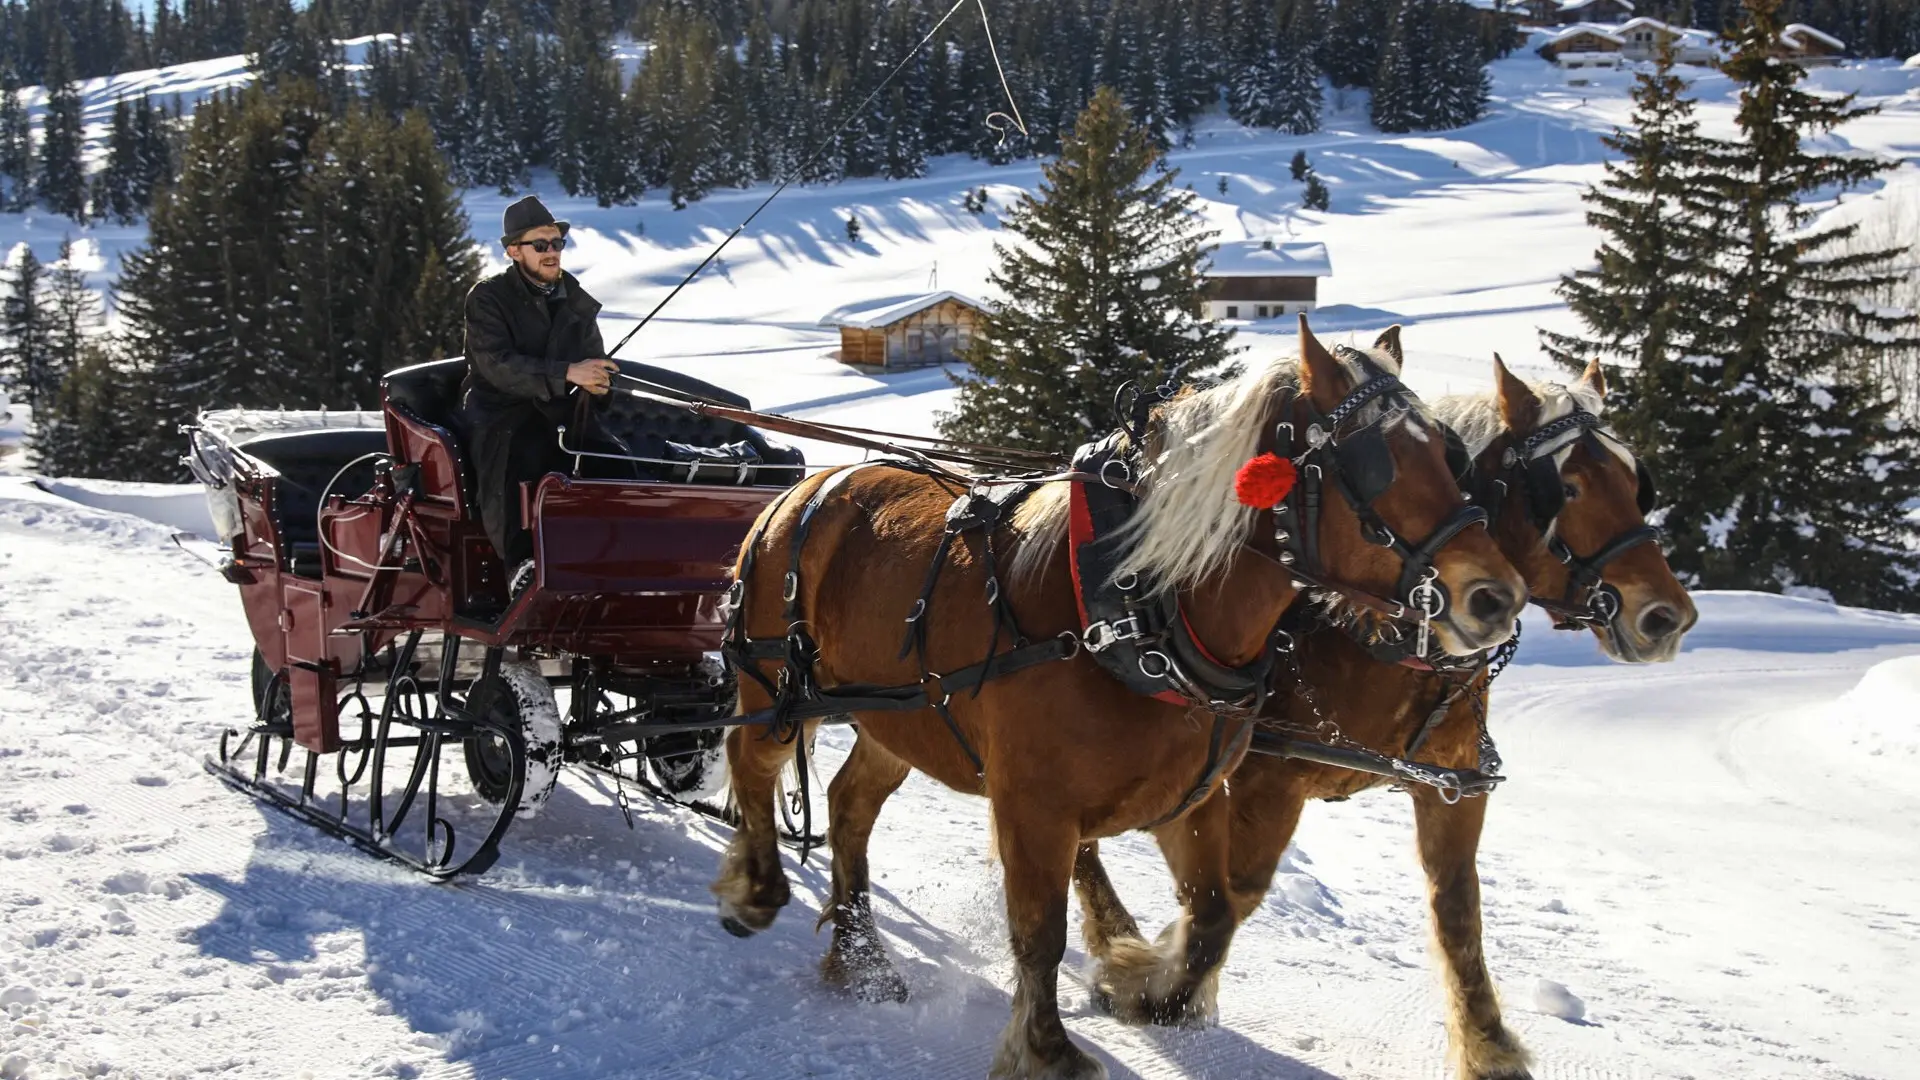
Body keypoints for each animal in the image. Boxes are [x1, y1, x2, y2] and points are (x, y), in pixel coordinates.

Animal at [714, 319, 1520, 1076]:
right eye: (1374, 463)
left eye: (1450, 455)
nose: (1496, 597)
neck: (1137, 608)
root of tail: (801, 489)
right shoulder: (1035, 805)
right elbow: (1040, 933)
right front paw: (1048, 1049)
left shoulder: (1192, 796)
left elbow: (1214, 913)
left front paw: (1142, 989)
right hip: (776, 689)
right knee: (749, 759)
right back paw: (756, 888)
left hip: (896, 720)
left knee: (849, 806)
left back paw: (863, 960)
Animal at [1075, 353, 1704, 1076]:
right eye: (1566, 489)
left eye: (1635, 484)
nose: (1666, 616)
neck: (1383, 636)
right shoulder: (1267, 779)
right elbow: (1237, 892)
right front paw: (1152, 978)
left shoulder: (1453, 788)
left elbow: (1457, 912)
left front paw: (1487, 1045)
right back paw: (1111, 933)